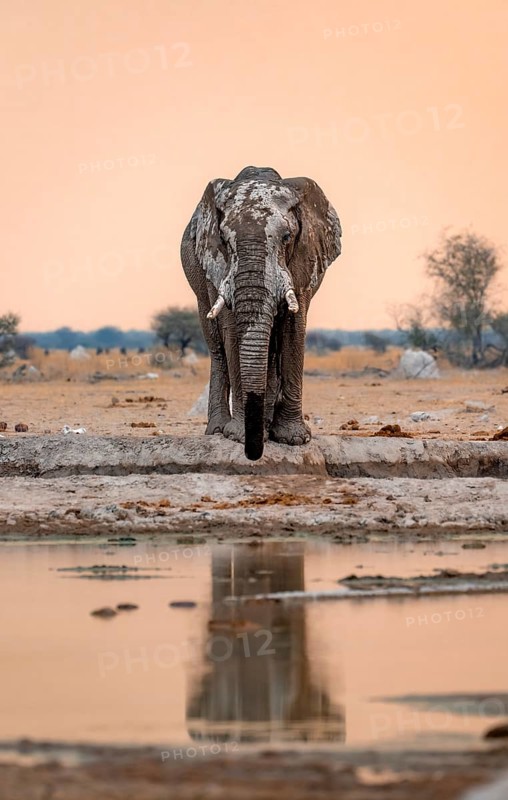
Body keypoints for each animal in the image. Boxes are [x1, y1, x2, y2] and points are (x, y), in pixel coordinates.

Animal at [181, 166, 342, 461]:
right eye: (224, 240)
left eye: (287, 237)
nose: (253, 453)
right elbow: (232, 332)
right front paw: (239, 436)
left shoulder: (302, 263)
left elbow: (294, 328)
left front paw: (294, 439)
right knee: (217, 347)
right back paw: (219, 430)